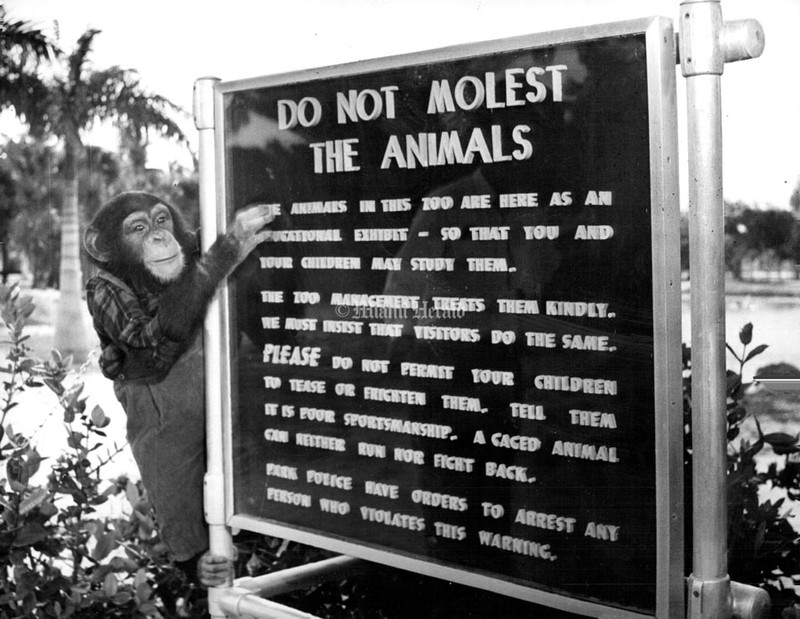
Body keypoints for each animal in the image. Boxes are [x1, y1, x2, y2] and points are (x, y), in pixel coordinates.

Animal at [82, 191, 274, 588]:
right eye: (137, 228)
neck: (147, 283)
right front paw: (234, 241)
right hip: (158, 451)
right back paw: (201, 564)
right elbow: (147, 335)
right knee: (174, 501)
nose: (158, 237)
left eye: (161, 220)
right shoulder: (101, 291)